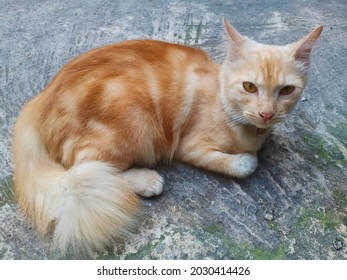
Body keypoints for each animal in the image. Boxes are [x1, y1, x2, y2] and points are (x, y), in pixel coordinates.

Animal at [11, 19, 324, 256]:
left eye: (286, 90)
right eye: (249, 87)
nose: (266, 114)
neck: (223, 100)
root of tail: (40, 99)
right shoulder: (189, 146)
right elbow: (245, 163)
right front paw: (248, 158)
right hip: (134, 119)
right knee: (85, 171)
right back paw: (146, 180)